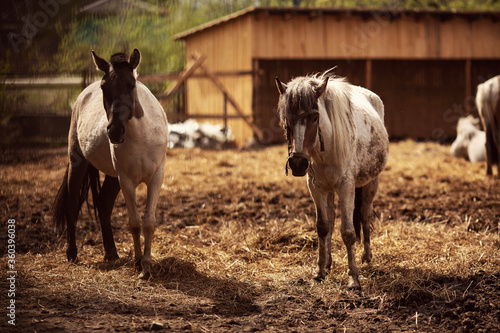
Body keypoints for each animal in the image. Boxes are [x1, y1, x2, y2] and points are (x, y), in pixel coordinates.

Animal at [53, 48, 168, 278]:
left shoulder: (156, 177)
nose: (114, 132)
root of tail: (81, 97)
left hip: (112, 177)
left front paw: (147, 266)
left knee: (103, 204)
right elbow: (134, 223)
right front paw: (138, 264)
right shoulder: (126, 180)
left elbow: (149, 223)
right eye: (104, 87)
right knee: (72, 205)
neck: (142, 135)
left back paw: (111, 253)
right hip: (78, 163)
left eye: (131, 85)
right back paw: (72, 253)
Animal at [276, 70, 388, 288]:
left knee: (365, 215)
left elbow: (348, 232)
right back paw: (329, 264)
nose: (298, 163)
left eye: (315, 117)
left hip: (372, 183)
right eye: (286, 119)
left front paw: (353, 278)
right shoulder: (316, 188)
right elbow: (323, 227)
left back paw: (367, 257)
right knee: (331, 220)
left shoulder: (346, 187)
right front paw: (321, 271)